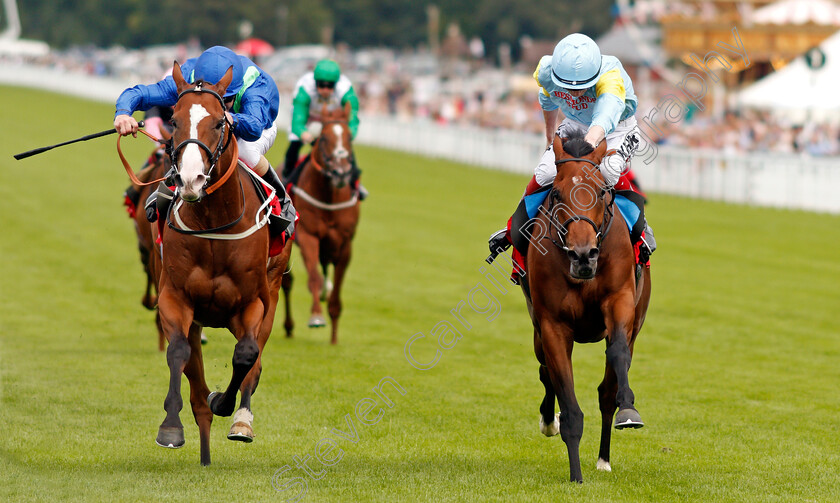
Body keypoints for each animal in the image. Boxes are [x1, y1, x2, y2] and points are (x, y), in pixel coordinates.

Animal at [149, 64, 294, 468]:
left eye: (218, 122)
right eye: (173, 119)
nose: (190, 180)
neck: (214, 222)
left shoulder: (252, 303)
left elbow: (246, 355)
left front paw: (228, 406)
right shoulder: (176, 298)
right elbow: (178, 352)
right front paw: (171, 427)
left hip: (270, 291)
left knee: (254, 361)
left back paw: (241, 420)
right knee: (193, 371)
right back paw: (204, 450)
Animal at [284, 103, 360, 346]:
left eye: (349, 137)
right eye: (324, 138)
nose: (341, 172)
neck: (329, 198)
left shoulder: (345, 244)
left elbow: (336, 289)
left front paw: (334, 337)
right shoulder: (309, 236)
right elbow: (314, 278)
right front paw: (316, 316)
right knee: (288, 282)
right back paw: (288, 326)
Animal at [520, 131, 652, 484]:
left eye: (600, 192)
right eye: (556, 193)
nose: (583, 254)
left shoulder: (620, 302)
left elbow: (617, 357)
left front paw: (629, 410)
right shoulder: (552, 325)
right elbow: (568, 403)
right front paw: (576, 475)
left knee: (607, 389)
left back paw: (604, 457)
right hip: (537, 329)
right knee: (545, 369)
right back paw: (548, 421)